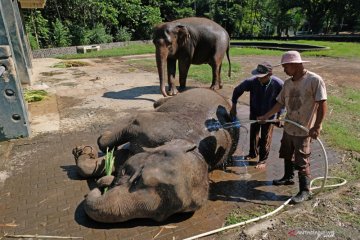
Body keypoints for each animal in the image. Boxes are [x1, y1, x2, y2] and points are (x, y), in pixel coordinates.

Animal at [72, 88, 239, 223]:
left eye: (160, 216)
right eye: (137, 180)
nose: (102, 185)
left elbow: (119, 158)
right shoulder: (153, 128)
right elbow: (128, 126)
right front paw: (86, 148)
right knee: (158, 104)